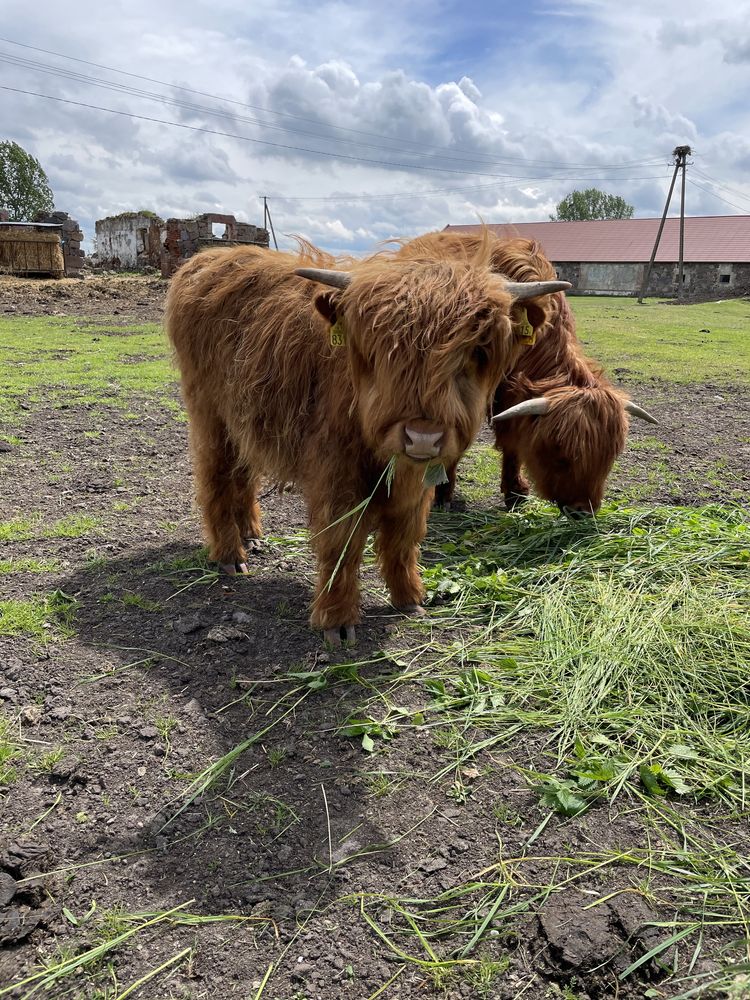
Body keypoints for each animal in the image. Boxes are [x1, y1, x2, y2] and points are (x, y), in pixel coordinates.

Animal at [167, 246, 568, 644]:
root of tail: (207, 258)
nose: (423, 436)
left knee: (243, 472)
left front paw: (409, 599)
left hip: (244, 418)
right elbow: (341, 542)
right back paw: (230, 556)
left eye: (477, 351)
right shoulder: (336, 473)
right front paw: (337, 620)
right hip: (211, 415)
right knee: (216, 476)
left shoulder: (416, 481)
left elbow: (404, 536)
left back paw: (251, 535)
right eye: (384, 349)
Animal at [400, 232, 656, 516]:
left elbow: (512, 442)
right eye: (560, 453)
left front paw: (515, 492)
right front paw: (443, 493)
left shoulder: (511, 398)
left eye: (611, 454)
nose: (582, 510)